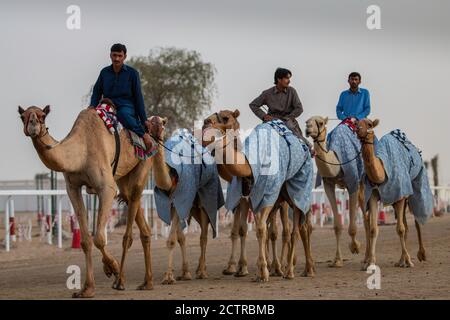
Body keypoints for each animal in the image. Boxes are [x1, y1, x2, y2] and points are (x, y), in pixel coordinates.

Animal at [17, 104, 155, 298]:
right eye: (23, 116)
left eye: (42, 116)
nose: (33, 125)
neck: (80, 154)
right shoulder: (72, 188)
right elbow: (85, 241)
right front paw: (87, 289)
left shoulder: (107, 188)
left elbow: (99, 238)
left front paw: (112, 268)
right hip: (123, 176)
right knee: (135, 211)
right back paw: (146, 282)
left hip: (144, 162)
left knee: (134, 200)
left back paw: (123, 281)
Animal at [147, 115, 219, 284]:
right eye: (149, 121)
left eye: (162, 123)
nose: (156, 132)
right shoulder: (172, 203)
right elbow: (180, 237)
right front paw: (184, 272)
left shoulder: (178, 201)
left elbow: (172, 240)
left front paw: (168, 277)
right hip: (192, 207)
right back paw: (194, 270)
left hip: (203, 202)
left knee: (203, 236)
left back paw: (202, 272)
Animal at [201, 109, 312, 280]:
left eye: (225, 117)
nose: (206, 122)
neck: (250, 164)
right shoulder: (246, 199)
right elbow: (244, 230)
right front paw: (242, 269)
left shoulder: (268, 195)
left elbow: (263, 230)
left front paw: (265, 271)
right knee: (297, 228)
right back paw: (298, 269)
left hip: (297, 192)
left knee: (295, 230)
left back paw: (292, 270)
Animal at [304, 117, 364, 268]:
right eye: (307, 122)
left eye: (320, 123)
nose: (308, 128)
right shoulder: (328, 185)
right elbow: (337, 225)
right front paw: (337, 260)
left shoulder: (353, 183)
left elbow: (352, 226)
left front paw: (355, 247)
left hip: (362, 181)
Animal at [356, 119, 428, 268]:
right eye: (356, 123)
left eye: (369, 124)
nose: (358, 129)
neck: (382, 171)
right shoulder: (372, 195)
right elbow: (373, 229)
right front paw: (370, 263)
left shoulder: (400, 193)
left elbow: (400, 229)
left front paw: (409, 261)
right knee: (406, 225)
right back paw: (400, 260)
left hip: (411, 191)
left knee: (414, 220)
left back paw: (420, 255)